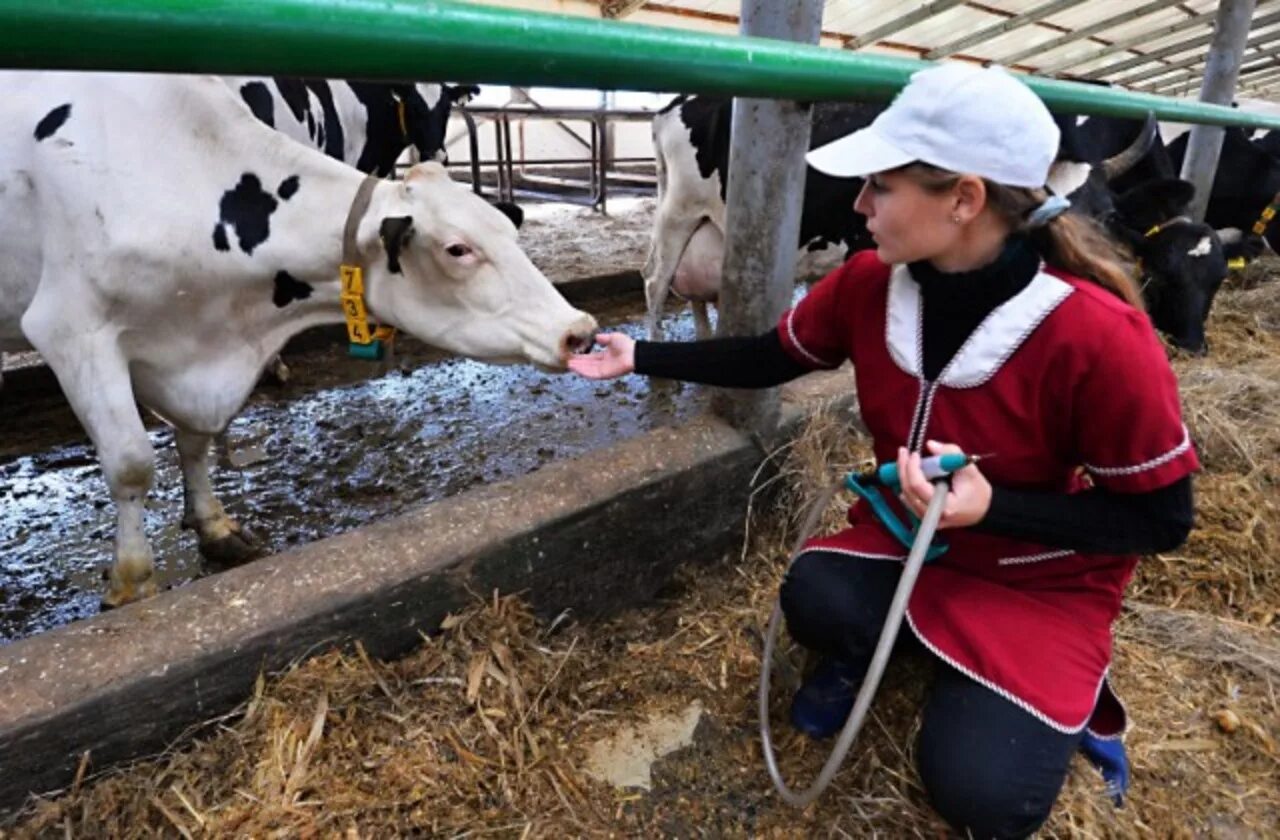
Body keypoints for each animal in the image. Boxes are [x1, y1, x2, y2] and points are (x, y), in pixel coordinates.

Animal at [0, 72, 599, 606]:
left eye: (508, 230)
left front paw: (214, 527)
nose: (579, 330)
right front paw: (131, 581)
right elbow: (130, 461)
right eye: (457, 249)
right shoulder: (71, 328)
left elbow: (193, 439)